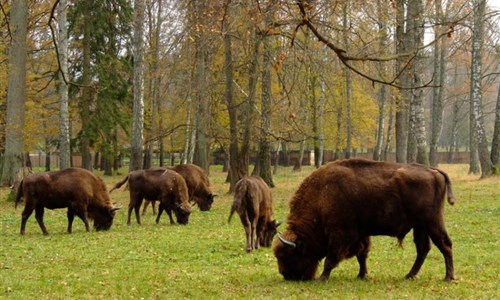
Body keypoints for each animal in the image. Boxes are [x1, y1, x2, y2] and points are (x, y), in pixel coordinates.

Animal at [276, 159, 456, 282]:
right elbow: (362, 254)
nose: (287, 276)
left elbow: (331, 258)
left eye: (289, 256)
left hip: (432, 222)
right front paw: (362, 275)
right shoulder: (360, 233)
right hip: (420, 226)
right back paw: (409, 275)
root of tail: (433, 171)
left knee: (445, 245)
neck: (321, 195)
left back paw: (448, 277)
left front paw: (322, 278)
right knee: (423, 248)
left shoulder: (341, 234)